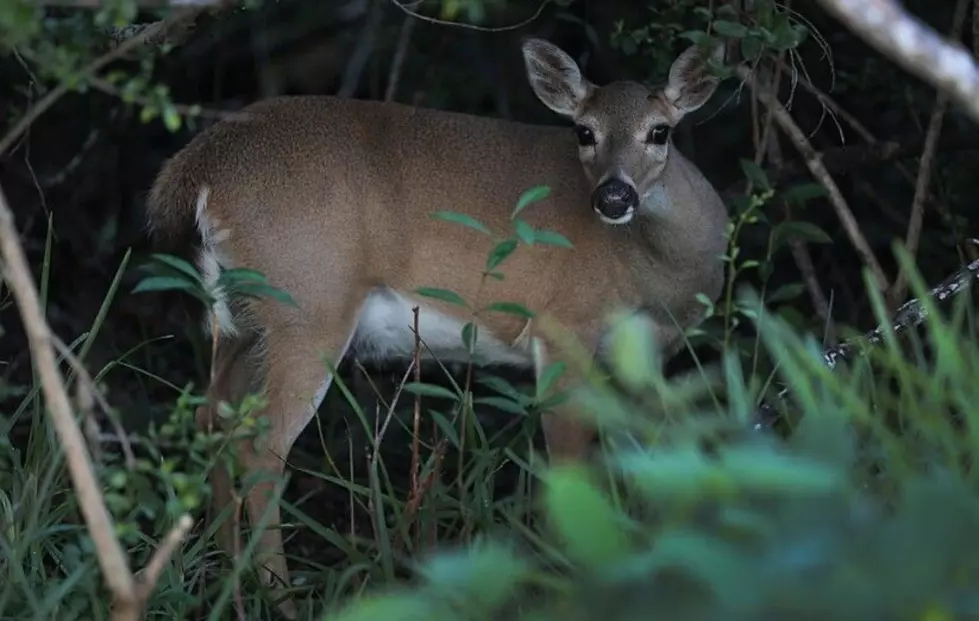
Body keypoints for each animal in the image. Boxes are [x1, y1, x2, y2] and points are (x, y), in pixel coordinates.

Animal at [144, 36, 729, 615]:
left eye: (660, 131)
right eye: (584, 131)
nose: (613, 196)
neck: (652, 270)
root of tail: (198, 170)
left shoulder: (648, 354)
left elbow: (653, 459)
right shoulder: (564, 325)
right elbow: (570, 465)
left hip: (241, 322)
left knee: (213, 420)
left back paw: (228, 585)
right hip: (308, 306)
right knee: (262, 445)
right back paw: (280, 596)